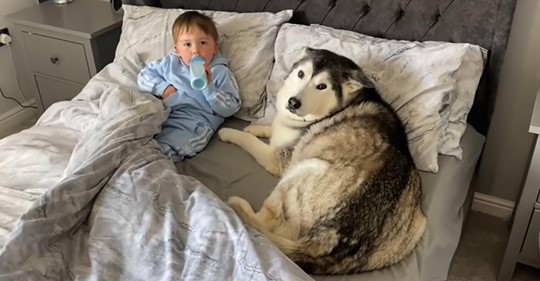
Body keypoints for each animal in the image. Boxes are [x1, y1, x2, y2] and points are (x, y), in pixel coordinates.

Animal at [217, 47, 424, 274]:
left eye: (322, 86)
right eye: (301, 74)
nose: (293, 102)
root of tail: (330, 246)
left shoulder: (279, 159)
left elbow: (252, 141)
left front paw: (230, 132)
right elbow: (273, 128)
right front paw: (256, 127)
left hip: (305, 168)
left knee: (269, 222)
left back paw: (241, 207)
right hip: (418, 225)